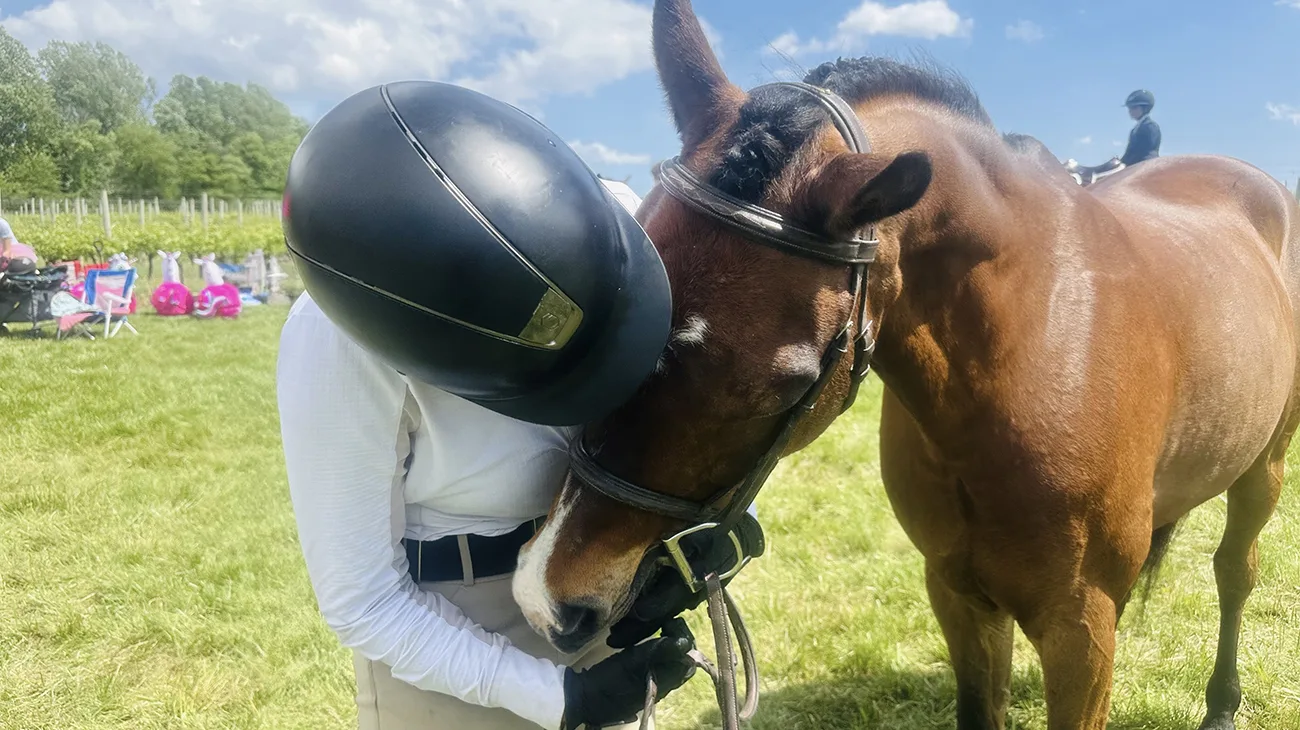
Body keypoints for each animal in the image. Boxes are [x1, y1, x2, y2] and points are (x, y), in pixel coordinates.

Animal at [510, 2, 1300, 728]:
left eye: (785, 385)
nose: (548, 597)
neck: (1026, 362)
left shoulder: (1081, 629)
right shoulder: (957, 593)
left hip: (1264, 468)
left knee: (1235, 571)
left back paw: (1222, 703)